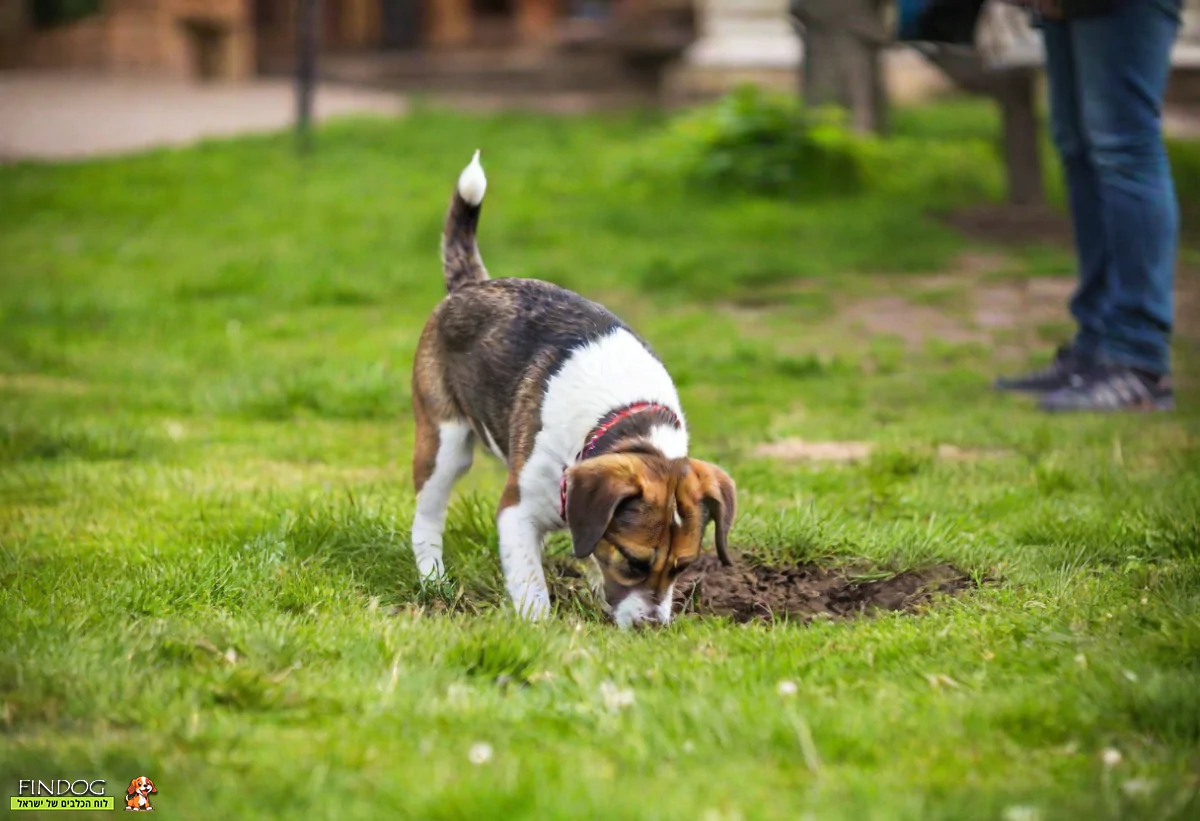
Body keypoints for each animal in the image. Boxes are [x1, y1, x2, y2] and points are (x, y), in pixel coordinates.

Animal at [408, 152, 734, 628]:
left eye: (684, 566)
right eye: (634, 562)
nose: (653, 629)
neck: (621, 422)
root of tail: (472, 285)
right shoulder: (517, 512)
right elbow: (531, 585)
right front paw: (541, 629)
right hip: (443, 443)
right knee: (427, 517)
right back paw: (434, 581)